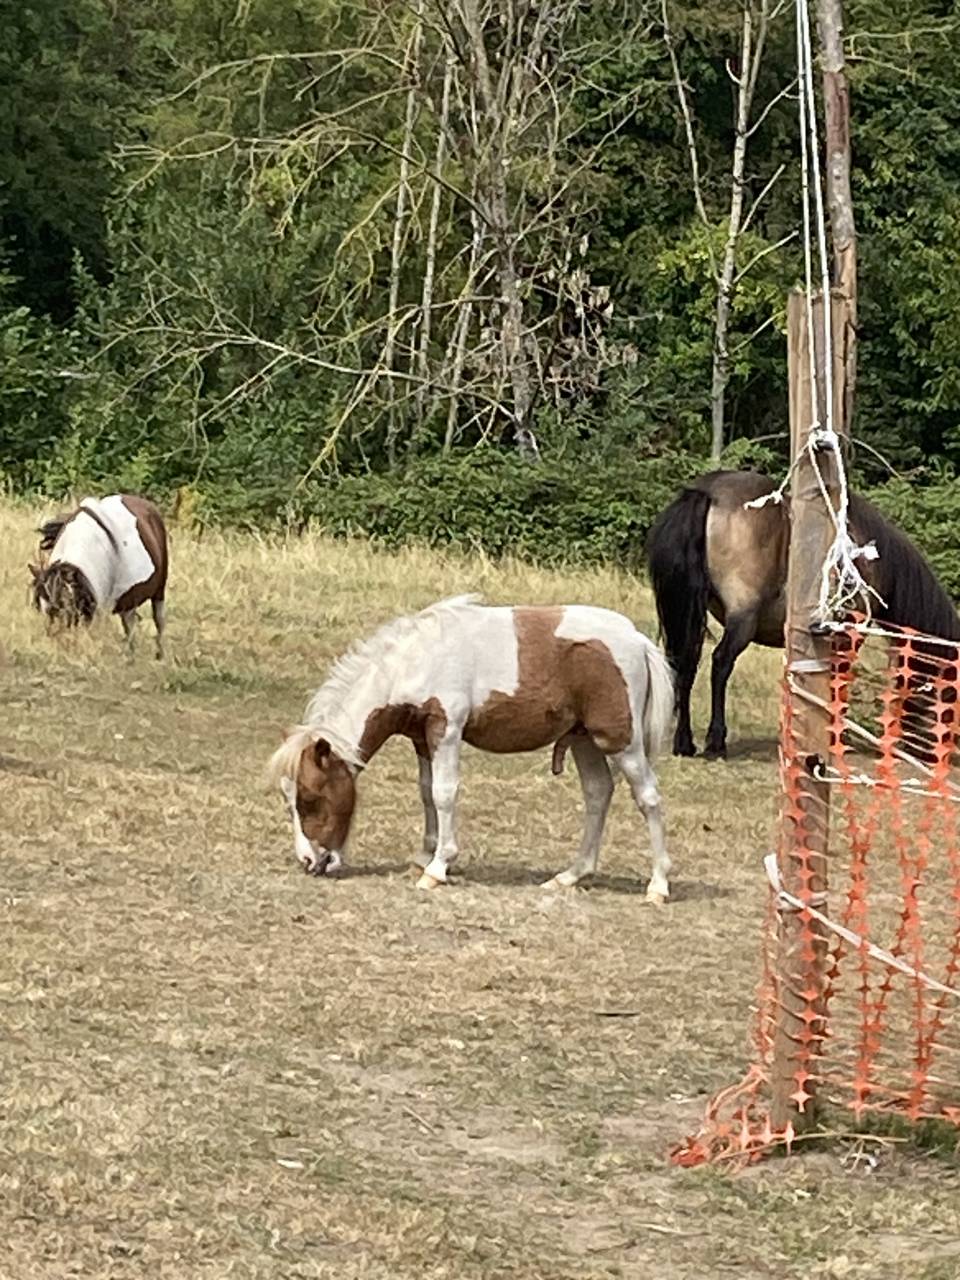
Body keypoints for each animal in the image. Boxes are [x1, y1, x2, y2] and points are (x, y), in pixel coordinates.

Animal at [29, 494, 169, 658]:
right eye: (40, 609)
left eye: (66, 611)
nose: (57, 651)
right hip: (128, 603)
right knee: (130, 627)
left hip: (159, 590)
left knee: (159, 620)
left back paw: (160, 655)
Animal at [267, 595, 675, 901]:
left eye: (309, 799)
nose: (309, 861)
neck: (416, 659)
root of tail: (637, 640)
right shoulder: (422, 738)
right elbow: (427, 793)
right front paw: (424, 856)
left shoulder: (446, 729)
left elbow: (444, 793)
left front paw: (436, 868)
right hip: (584, 739)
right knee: (597, 793)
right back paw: (570, 875)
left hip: (620, 740)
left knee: (648, 797)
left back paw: (658, 886)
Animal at [647, 469, 960, 759]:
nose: (937, 755)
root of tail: (708, 492)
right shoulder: (849, 631)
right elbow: (840, 678)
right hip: (742, 620)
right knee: (720, 664)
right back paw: (715, 742)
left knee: (685, 665)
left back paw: (684, 743)